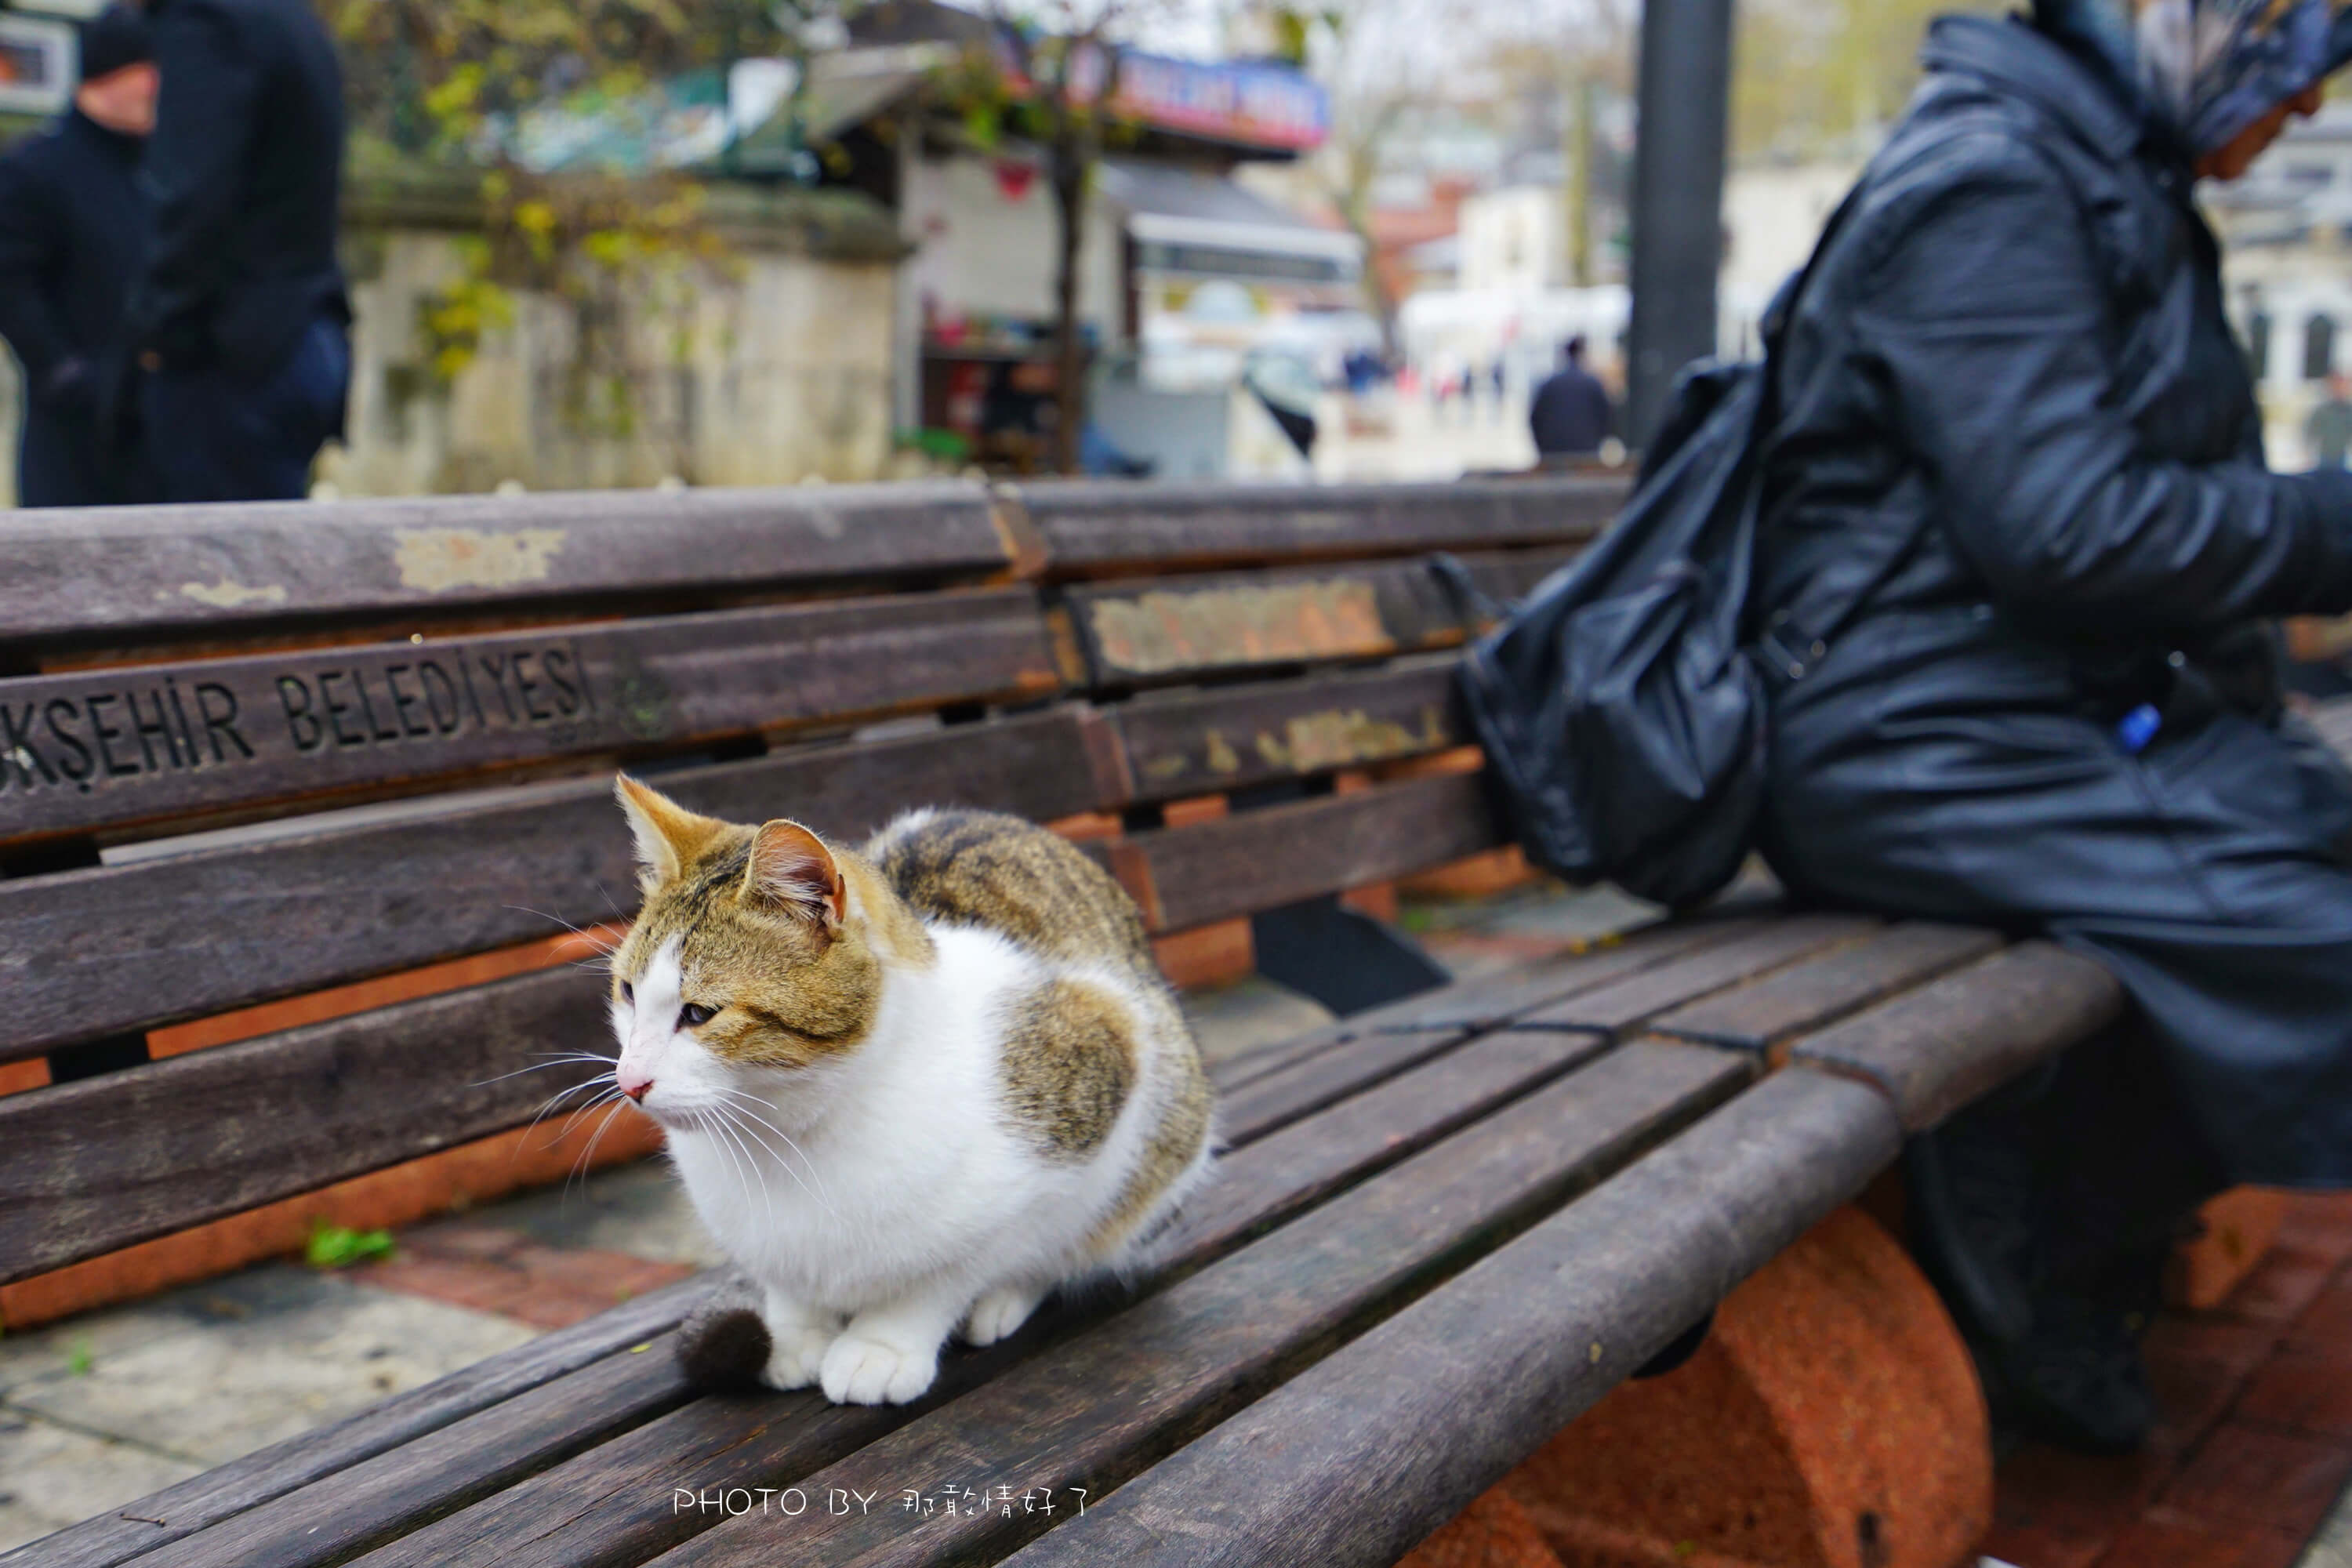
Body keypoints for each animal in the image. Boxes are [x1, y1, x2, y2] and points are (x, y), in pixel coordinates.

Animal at [607, 780, 1214, 1410]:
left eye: (699, 1013)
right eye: (627, 992)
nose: (630, 1080)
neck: (787, 1136)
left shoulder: (1106, 1054)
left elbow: (960, 1264)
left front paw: (885, 1344)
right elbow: (785, 1274)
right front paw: (795, 1331)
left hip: (1172, 1114)